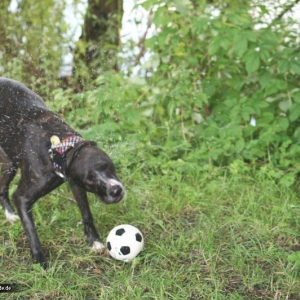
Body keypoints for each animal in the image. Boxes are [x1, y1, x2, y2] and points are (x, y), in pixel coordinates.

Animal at [0, 77, 124, 268]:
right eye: (90, 180)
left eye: (106, 166)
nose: (115, 190)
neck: (61, 149)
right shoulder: (22, 197)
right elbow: (31, 232)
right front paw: (40, 262)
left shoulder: (75, 183)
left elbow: (86, 213)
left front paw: (93, 241)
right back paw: (10, 215)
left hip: (9, 164)